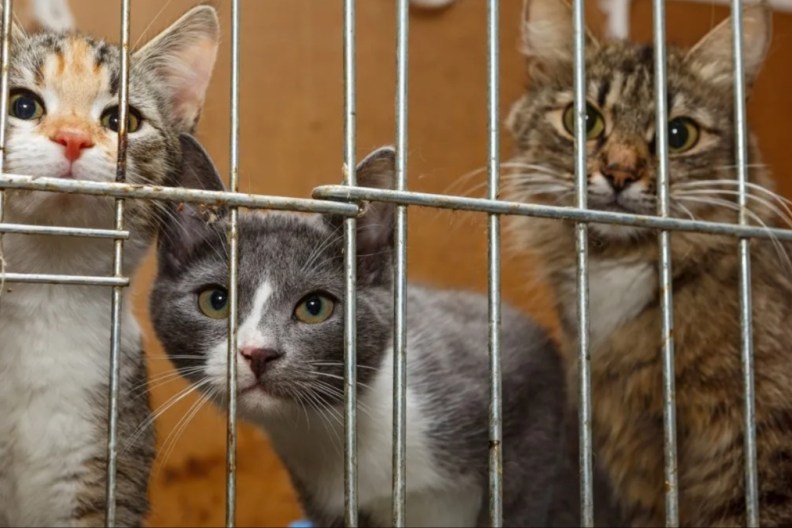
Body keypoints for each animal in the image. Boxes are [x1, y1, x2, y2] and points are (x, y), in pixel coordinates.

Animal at [148, 135, 572, 528]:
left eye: (315, 307)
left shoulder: (526, 379)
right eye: (216, 300)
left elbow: (520, 503)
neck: (334, 430)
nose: (258, 352)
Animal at [508, 0, 792, 524]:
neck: (619, 266)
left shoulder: (763, 445)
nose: (620, 173)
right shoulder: (636, 463)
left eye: (679, 135)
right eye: (584, 120)